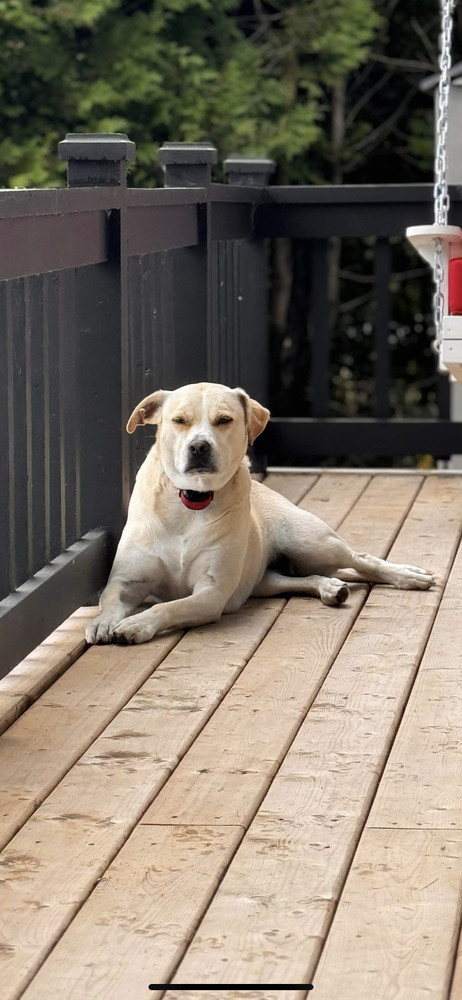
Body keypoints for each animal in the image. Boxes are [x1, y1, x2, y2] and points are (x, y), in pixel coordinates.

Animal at [85, 378, 434, 644]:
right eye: (179, 421)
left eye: (224, 420)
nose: (199, 446)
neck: (193, 500)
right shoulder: (125, 581)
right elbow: (110, 599)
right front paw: (104, 622)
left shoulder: (212, 592)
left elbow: (166, 608)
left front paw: (136, 623)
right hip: (267, 580)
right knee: (303, 577)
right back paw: (330, 587)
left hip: (313, 544)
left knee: (362, 560)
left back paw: (408, 576)